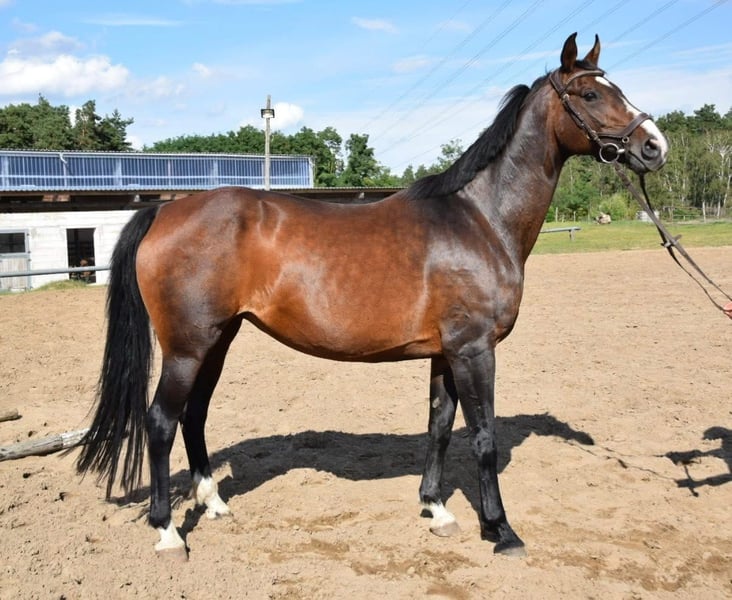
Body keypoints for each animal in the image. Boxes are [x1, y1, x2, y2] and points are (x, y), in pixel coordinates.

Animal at [75, 33, 668, 558]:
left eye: (614, 86)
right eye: (590, 94)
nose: (654, 146)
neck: (480, 218)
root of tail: (165, 211)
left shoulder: (446, 353)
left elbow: (439, 426)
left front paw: (436, 509)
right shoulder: (475, 351)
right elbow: (483, 437)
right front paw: (500, 530)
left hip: (216, 341)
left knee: (193, 415)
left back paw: (214, 503)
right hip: (187, 347)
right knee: (160, 421)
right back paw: (168, 532)